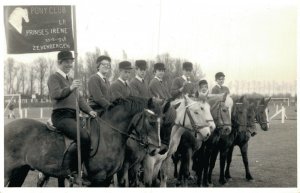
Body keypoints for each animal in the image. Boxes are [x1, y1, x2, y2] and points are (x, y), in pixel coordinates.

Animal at [3, 96, 162, 187]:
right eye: (151, 121)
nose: (157, 149)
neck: (108, 135)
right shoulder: (98, 179)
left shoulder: (107, 179)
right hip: (7, 172)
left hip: (21, 171)